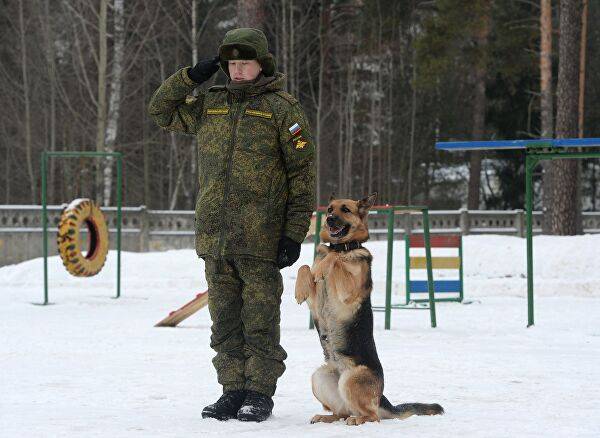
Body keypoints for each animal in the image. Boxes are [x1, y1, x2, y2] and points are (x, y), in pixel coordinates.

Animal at [292, 193, 442, 426]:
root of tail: (382, 399)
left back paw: (358, 419)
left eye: (345, 209)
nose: (330, 220)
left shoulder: (348, 291)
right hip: (320, 377)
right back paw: (326, 417)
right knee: (342, 412)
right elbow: (305, 266)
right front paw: (301, 287)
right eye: (329, 209)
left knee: (372, 416)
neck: (343, 245)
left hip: (352, 378)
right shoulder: (315, 304)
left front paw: (326, 263)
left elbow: (336, 258)